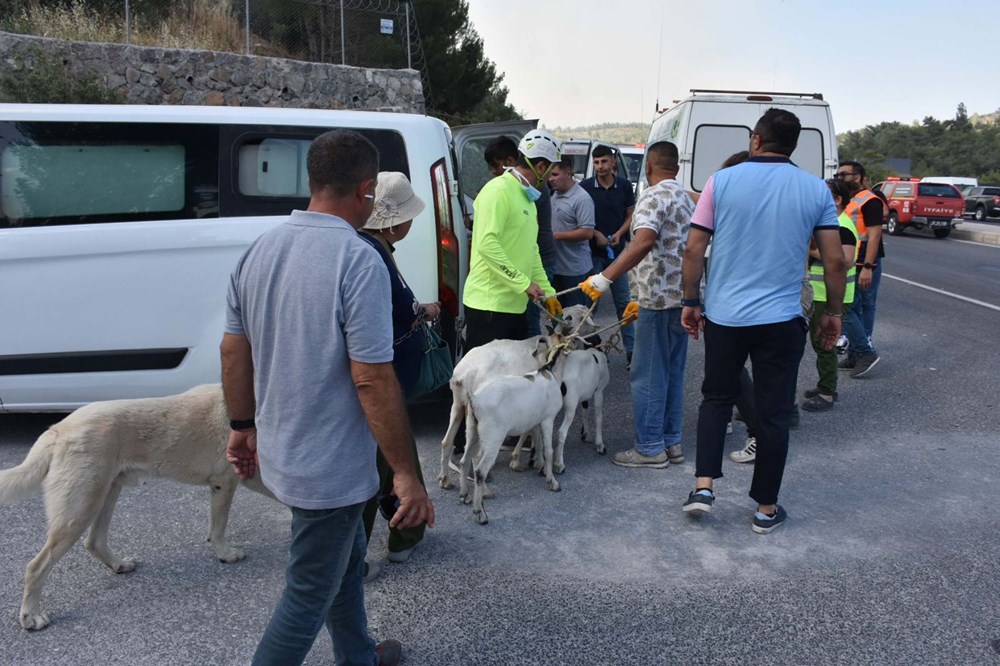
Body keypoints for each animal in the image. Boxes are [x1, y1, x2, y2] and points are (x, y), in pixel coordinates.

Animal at [0, 384, 272, 628]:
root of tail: (57, 430)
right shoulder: (226, 483)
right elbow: (218, 529)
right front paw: (225, 554)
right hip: (80, 509)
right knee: (36, 567)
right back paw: (31, 616)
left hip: (106, 494)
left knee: (94, 542)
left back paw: (118, 564)